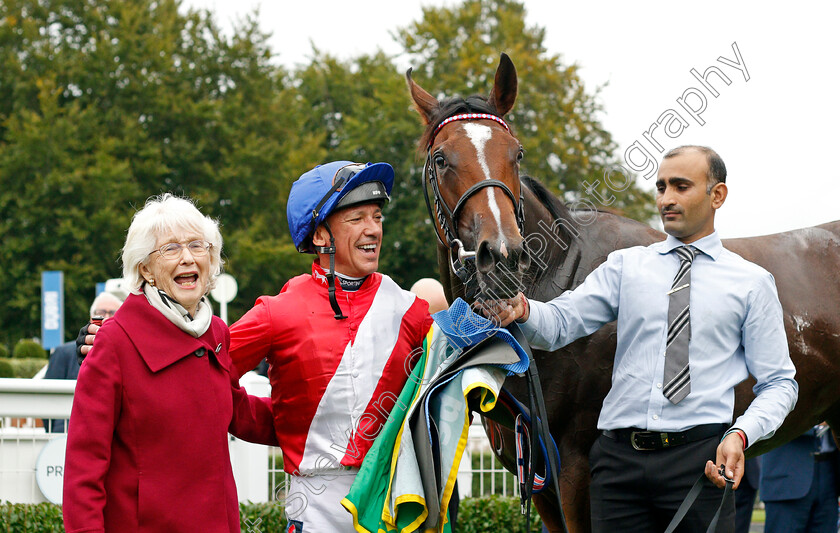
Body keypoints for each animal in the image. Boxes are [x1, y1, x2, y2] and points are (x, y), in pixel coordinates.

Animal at [404, 53, 840, 528]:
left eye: (516, 154)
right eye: (441, 159)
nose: (501, 255)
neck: (560, 273)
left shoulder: (577, 466)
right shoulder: (534, 468)